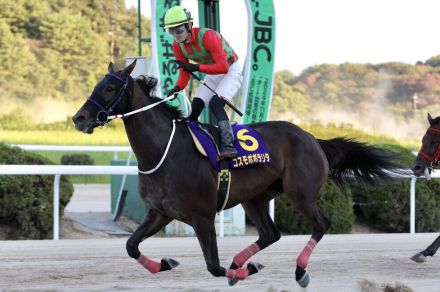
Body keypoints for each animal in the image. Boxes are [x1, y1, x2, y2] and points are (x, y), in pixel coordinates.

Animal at [72, 61, 398, 288]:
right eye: (98, 84)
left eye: (110, 88)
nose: (79, 118)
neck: (164, 150)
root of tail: (312, 138)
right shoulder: (159, 212)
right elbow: (130, 246)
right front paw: (166, 263)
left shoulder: (202, 217)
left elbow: (213, 266)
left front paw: (245, 270)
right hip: (255, 197)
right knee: (270, 233)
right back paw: (244, 263)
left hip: (301, 194)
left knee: (322, 224)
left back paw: (299, 270)